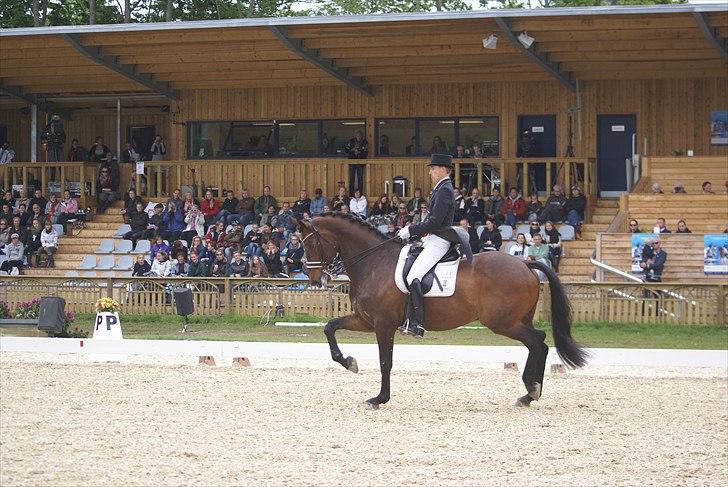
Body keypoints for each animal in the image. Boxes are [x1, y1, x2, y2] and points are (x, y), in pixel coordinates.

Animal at [298, 214, 588, 408]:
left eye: (310, 244)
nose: (314, 279)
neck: (373, 262)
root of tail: (525, 264)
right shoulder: (364, 320)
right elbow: (330, 327)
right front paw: (349, 362)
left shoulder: (383, 324)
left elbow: (385, 362)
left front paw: (379, 398)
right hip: (517, 320)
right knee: (539, 344)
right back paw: (529, 394)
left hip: (503, 322)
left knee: (538, 342)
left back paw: (531, 391)